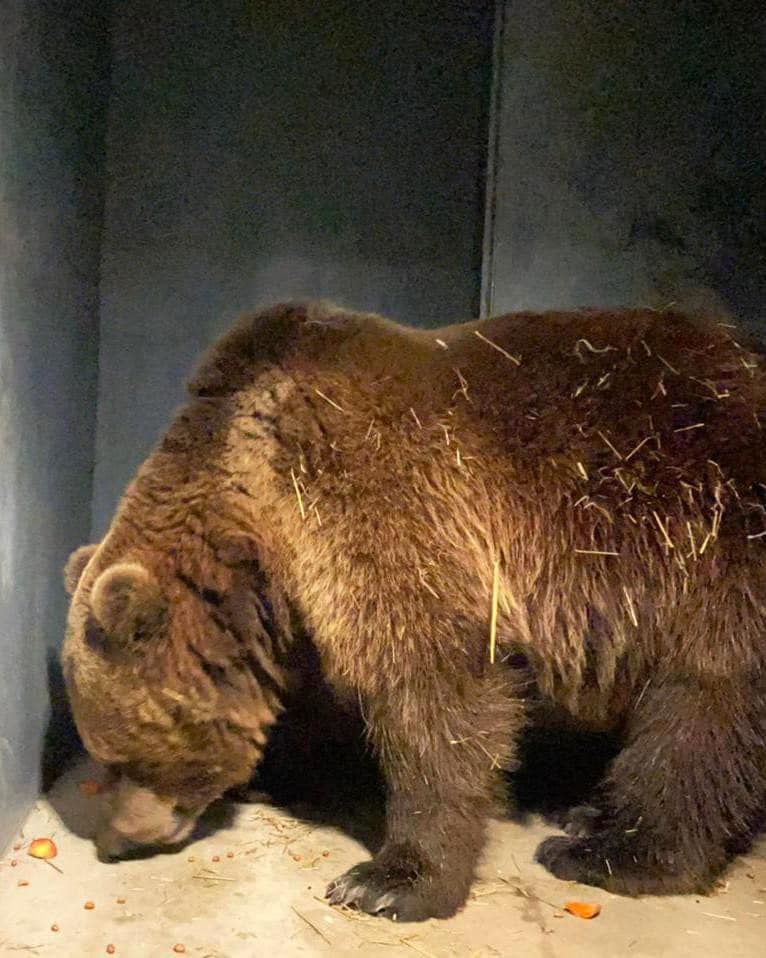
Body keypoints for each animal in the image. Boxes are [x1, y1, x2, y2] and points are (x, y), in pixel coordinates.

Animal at [62, 300, 766, 921]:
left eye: (118, 753)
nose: (114, 840)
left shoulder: (383, 498)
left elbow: (430, 691)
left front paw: (388, 880)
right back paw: (588, 812)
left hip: (698, 533)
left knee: (701, 709)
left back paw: (611, 851)